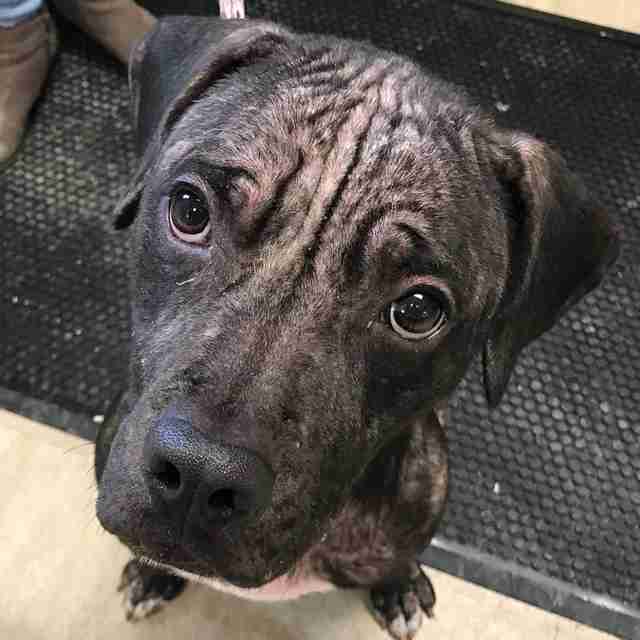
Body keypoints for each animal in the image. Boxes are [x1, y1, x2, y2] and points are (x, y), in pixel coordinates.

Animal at [95, 15, 620, 640]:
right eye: (190, 210)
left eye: (416, 310)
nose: (200, 476)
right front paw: (151, 572)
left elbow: (396, 560)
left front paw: (400, 585)